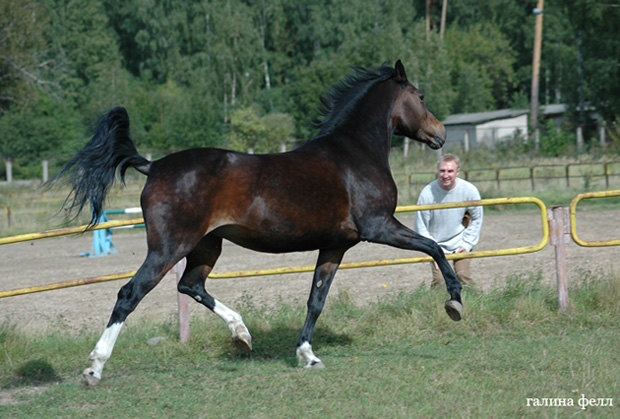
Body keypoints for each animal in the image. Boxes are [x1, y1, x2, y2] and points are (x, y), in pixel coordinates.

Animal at [57, 60, 460, 388]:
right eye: (420, 96)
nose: (441, 134)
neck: (354, 154)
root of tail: (153, 166)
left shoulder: (335, 245)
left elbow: (316, 299)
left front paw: (307, 355)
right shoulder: (379, 227)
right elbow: (434, 248)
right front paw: (455, 302)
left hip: (206, 245)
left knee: (190, 285)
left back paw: (242, 334)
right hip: (169, 247)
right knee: (130, 294)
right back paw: (94, 368)